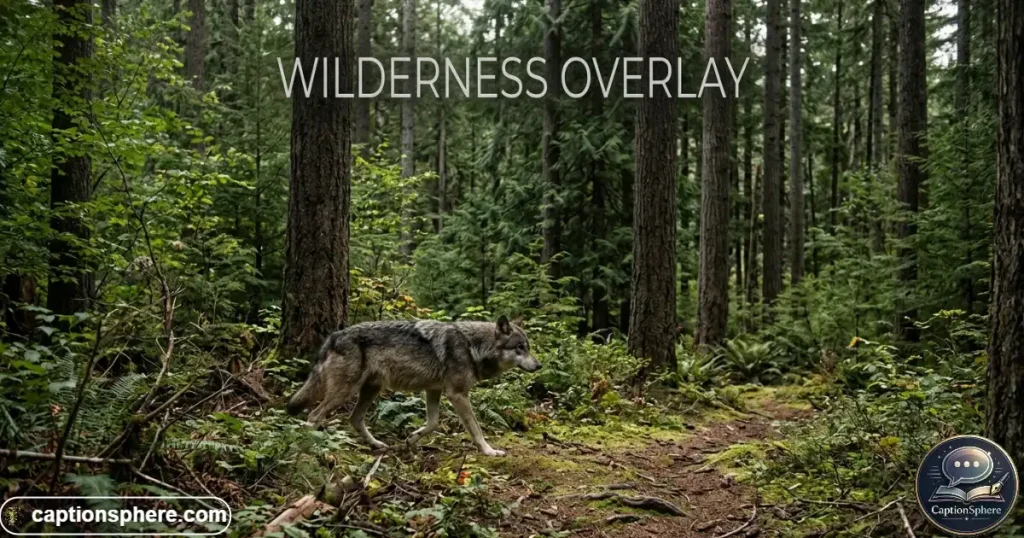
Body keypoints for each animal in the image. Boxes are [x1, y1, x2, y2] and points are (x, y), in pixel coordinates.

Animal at [286, 316, 541, 456]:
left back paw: (378, 445)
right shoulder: (457, 394)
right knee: (314, 416)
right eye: (520, 348)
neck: (473, 347)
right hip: (344, 392)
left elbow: (432, 423)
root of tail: (334, 335)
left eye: (528, 347)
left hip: (371, 390)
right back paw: (312, 447)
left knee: (355, 420)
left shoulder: (434, 390)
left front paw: (411, 439)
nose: (538, 365)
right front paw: (489, 451)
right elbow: (476, 429)